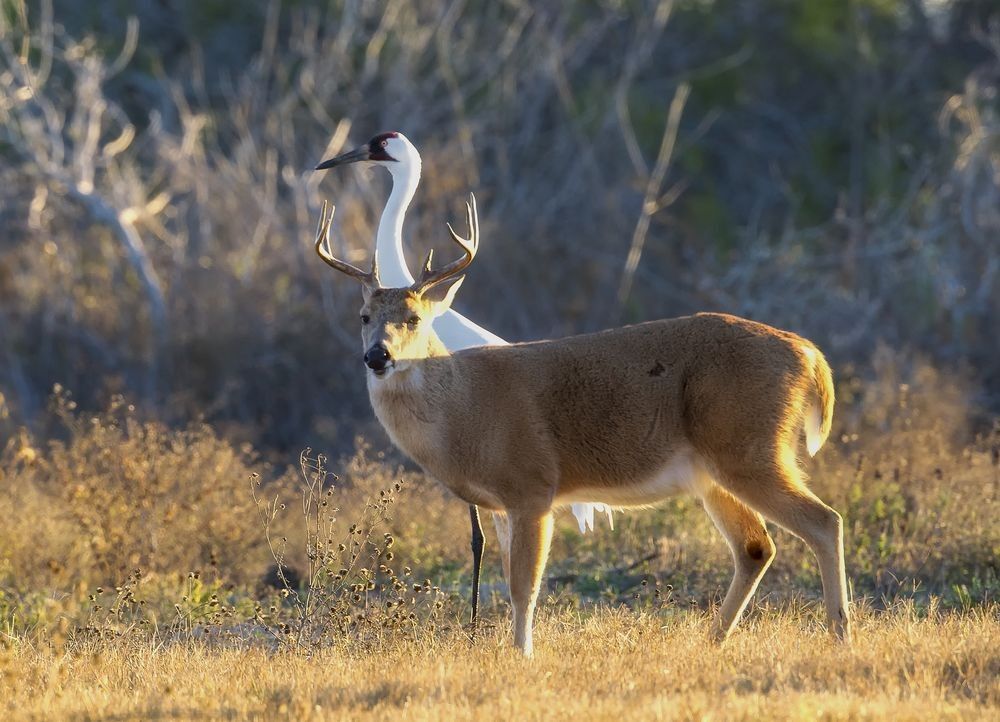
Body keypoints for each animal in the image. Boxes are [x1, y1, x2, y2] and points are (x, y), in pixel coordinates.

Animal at [312, 196, 851, 656]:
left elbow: (524, 587)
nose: (377, 356)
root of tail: (808, 354)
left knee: (824, 521)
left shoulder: (532, 485)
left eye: (414, 317)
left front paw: (522, 655)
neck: (466, 411)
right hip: (715, 471)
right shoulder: (501, 504)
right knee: (756, 546)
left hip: (749, 447)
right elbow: (509, 578)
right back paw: (712, 641)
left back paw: (839, 634)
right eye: (363, 316)